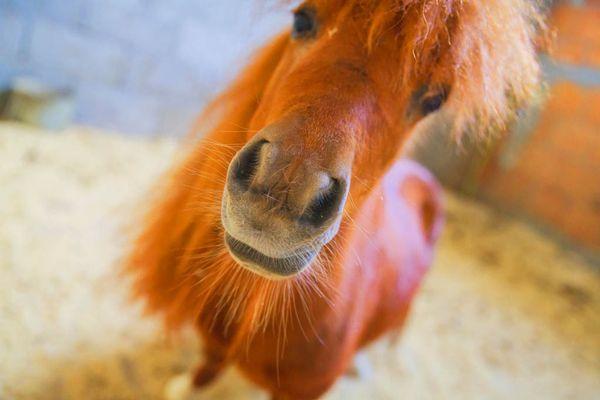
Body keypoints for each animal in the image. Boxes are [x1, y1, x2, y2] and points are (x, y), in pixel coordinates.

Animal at [125, 1, 544, 398]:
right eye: (301, 21)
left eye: (434, 99)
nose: (284, 191)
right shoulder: (213, 340)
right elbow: (207, 367)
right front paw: (183, 387)